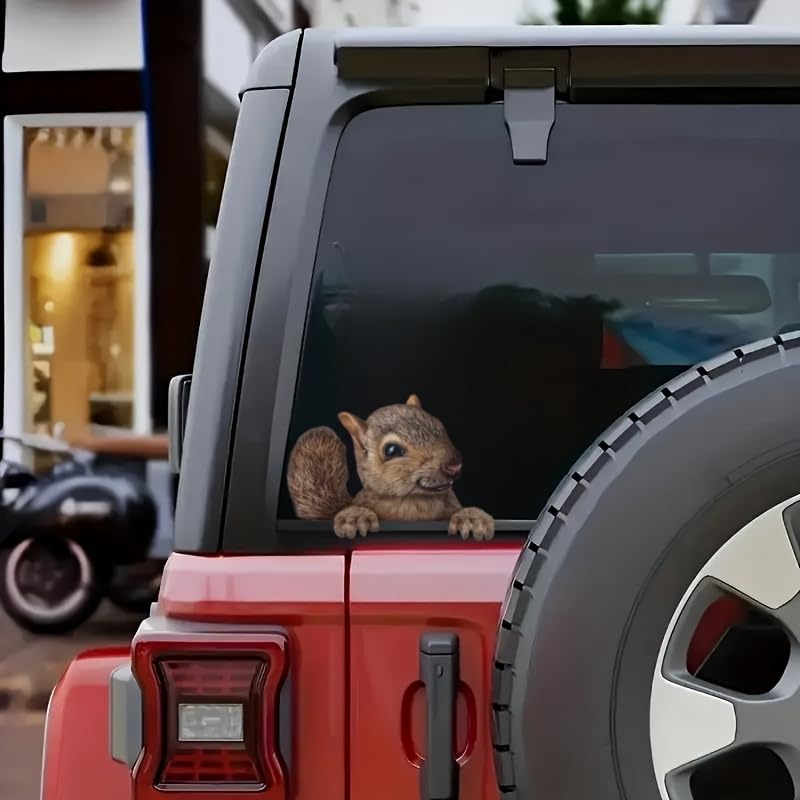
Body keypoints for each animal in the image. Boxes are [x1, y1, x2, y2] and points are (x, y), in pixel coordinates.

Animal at [286, 394, 495, 541]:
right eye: (391, 450)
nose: (454, 464)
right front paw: (355, 518)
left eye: (440, 426)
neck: (413, 502)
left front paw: (472, 518)